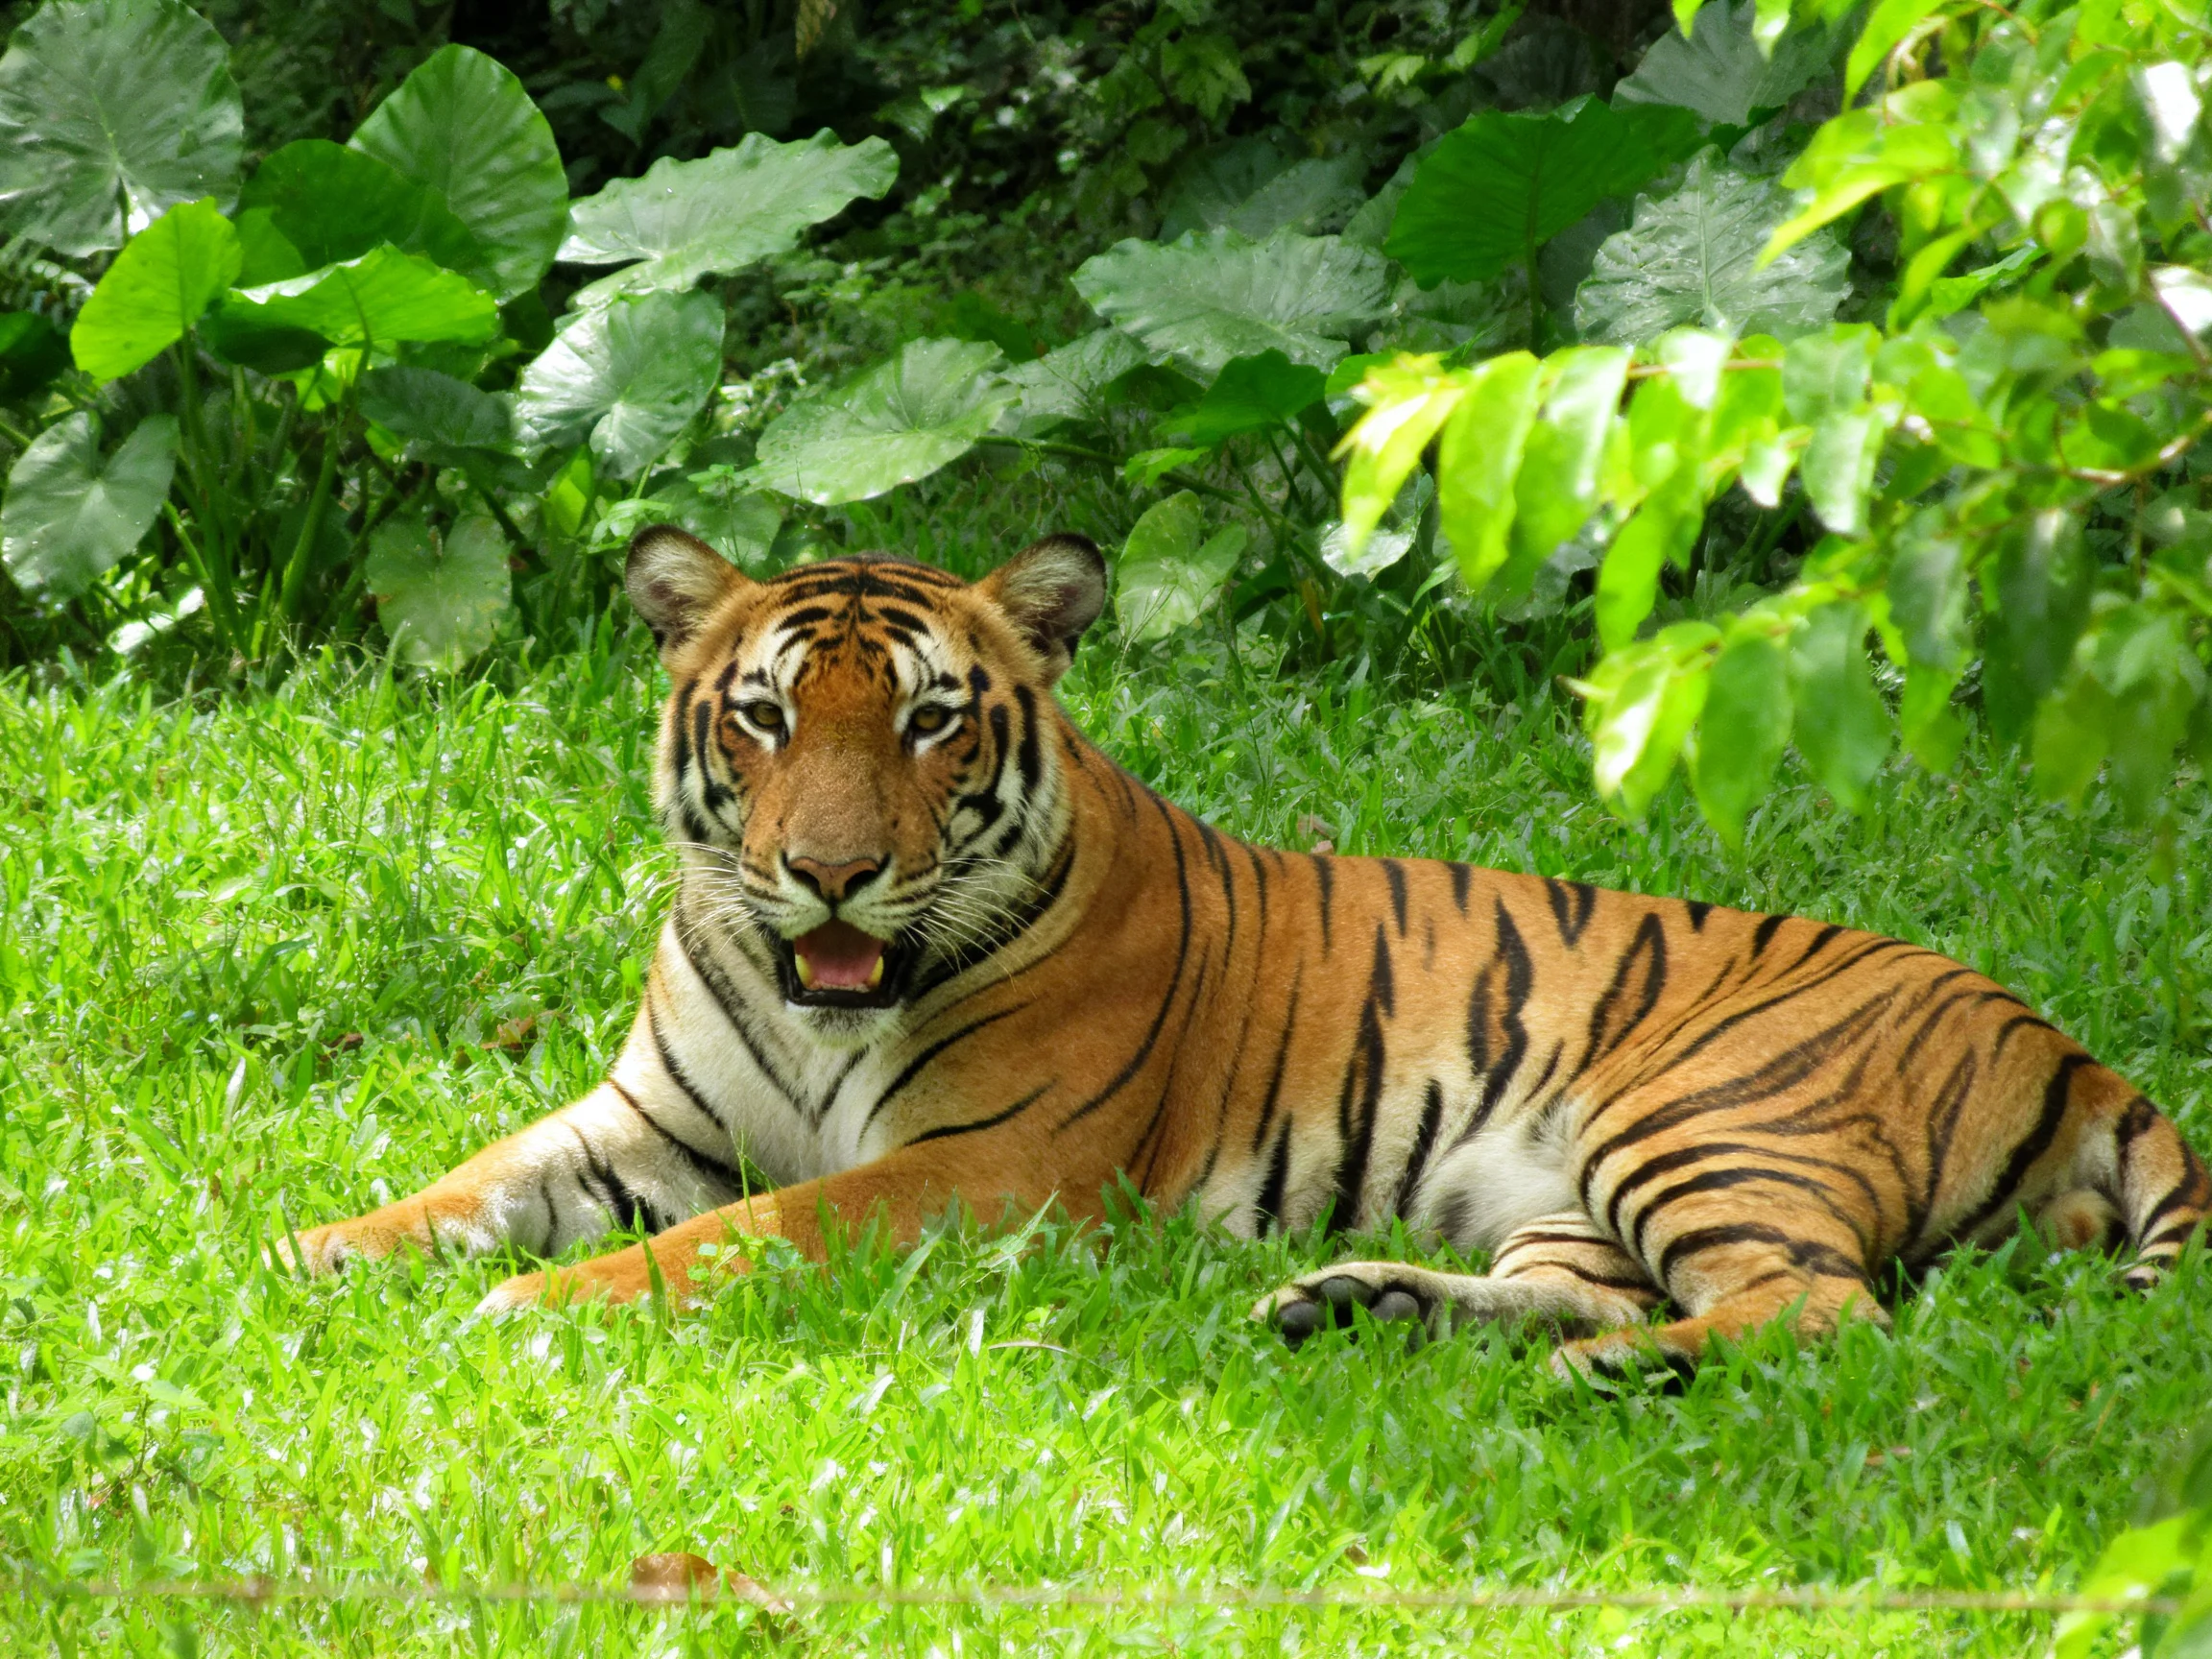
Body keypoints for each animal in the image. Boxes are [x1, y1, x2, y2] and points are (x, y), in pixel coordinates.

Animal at [280, 523, 2210, 1379]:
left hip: (1699, 1116)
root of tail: (2053, 1030)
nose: (826, 875)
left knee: (1814, 1306)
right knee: (1611, 1287)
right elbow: (463, 1183)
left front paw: (530, 1310)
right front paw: (310, 1253)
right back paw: (1357, 1302)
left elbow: (733, 1238)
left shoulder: (976, 1174)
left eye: (925, 722)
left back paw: (1590, 1371)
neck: (810, 999)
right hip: (1571, 1192)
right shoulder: (648, 1121)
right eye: (759, 717)